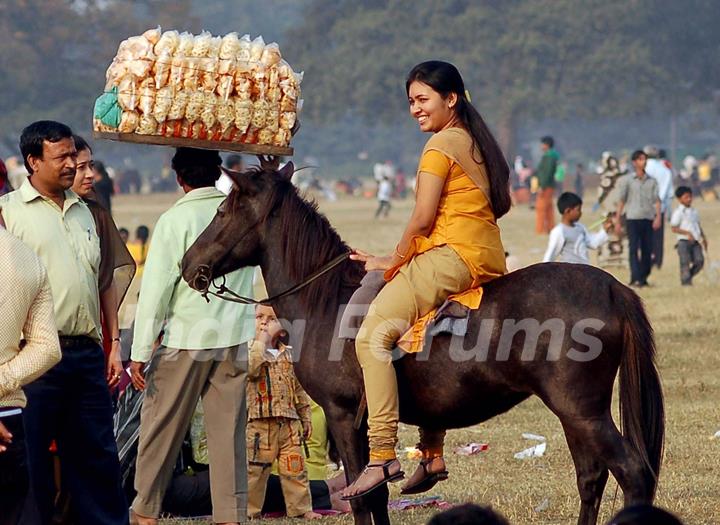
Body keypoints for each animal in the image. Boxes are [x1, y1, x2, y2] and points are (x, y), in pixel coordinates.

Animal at [180, 164, 664, 524]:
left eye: (222, 210)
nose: (188, 264)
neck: (326, 299)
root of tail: (612, 288)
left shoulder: (343, 416)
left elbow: (362, 497)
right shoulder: (364, 424)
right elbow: (377, 496)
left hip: (582, 411)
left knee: (632, 473)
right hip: (575, 414)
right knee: (591, 479)